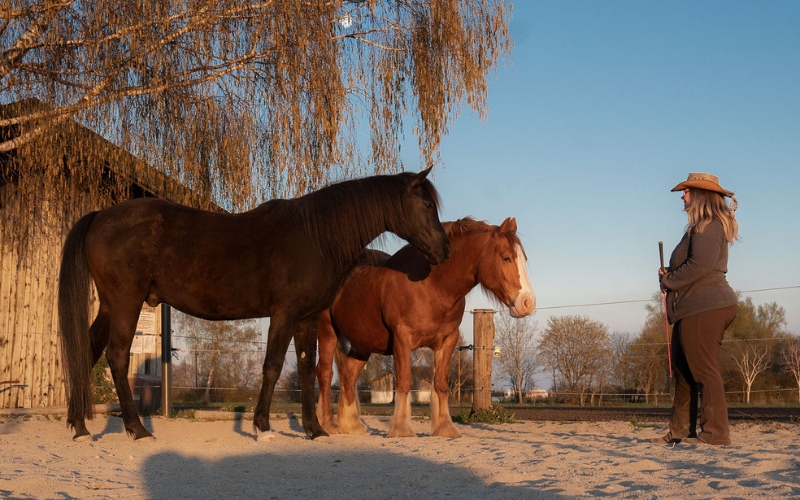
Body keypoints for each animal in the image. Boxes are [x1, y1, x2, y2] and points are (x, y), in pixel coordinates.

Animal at [58, 167, 450, 442]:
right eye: (427, 204)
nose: (444, 250)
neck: (315, 237)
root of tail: (100, 215)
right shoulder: (284, 314)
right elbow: (272, 367)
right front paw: (262, 426)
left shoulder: (306, 318)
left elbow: (306, 370)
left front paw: (314, 430)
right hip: (126, 302)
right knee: (117, 357)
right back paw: (137, 429)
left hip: (110, 305)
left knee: (87, 351)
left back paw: (79, 427)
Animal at [315, 217, 535, 438]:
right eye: (506, 258)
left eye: (524, 259)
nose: (528, 303)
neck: (432, 285)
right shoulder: (402, 339)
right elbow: (404, 382)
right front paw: (401, 429)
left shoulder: (447, 341)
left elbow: (441, 383)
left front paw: (445, 428)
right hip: (327, 332)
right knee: (325, 374)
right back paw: (327, 424)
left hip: (363, 343)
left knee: (348, 375)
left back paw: (352, 425)